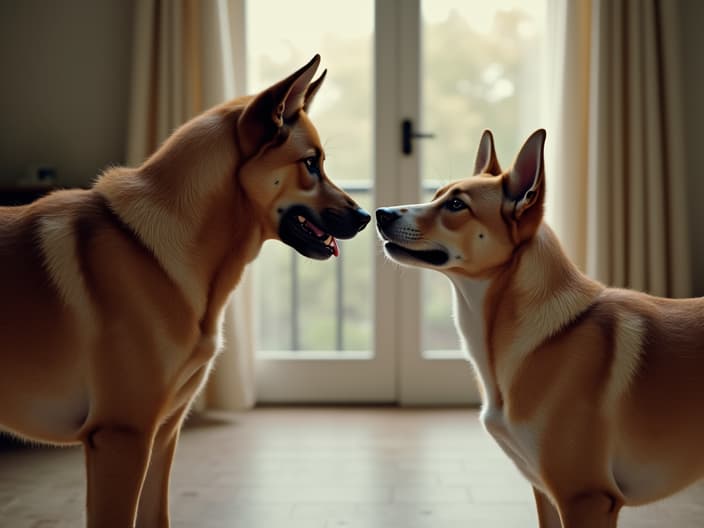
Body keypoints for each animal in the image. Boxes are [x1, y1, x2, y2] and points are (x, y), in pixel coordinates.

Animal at [0, 55, 368, 524]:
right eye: (310, 164)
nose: (366, 217)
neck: (157, 251)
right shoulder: (121, 440)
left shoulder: (161, 437)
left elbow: (156, 516)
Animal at [376, 129, 704, 528]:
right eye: (438, 195)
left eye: (456, 205)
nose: (380, 213)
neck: (543, 340)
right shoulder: (545, 492)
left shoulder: (587, 497)